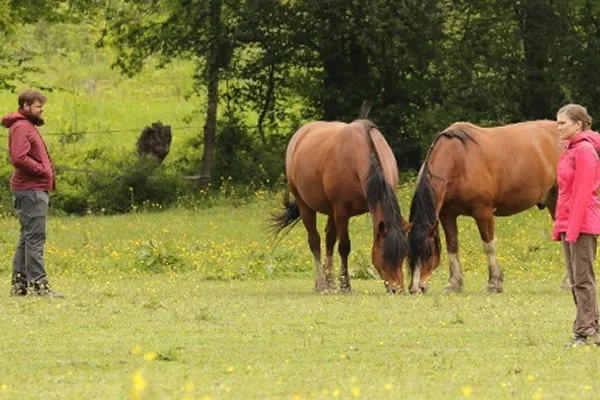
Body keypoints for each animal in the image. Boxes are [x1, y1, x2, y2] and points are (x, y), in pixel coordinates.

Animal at [270, 119, 408, 294]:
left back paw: (329, 282)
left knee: (329, 239)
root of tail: (301, 133)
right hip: (306, 206)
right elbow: (344, 246)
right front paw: (345, 285)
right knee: (315, 241)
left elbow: (334, 241)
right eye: (384, 255)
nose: (397, 290)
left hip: (330, 211)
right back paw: (321, 284)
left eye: (404, 255)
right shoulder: (341, 210)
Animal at [408, 119, 564, 294]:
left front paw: (494, 283)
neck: (458, 160)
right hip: (553, 202)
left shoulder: (483, 212)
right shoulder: (447, 215)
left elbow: (489, 246)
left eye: (428, 252)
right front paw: (453, 284)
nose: (415, 289)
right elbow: (452, 247)